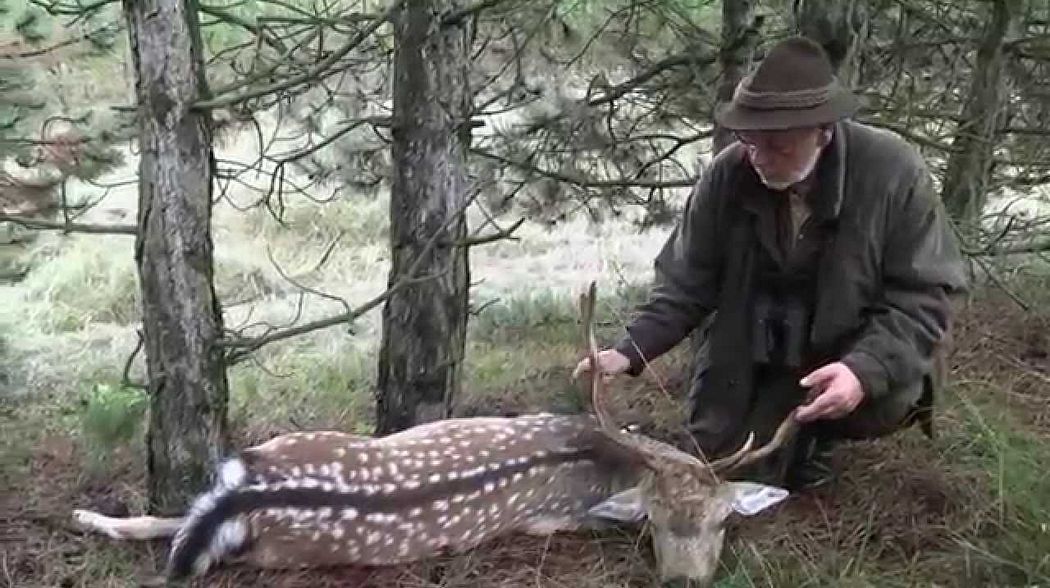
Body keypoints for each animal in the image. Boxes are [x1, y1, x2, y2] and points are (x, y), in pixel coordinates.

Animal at [71, 283, 793, 583]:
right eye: (654, 523)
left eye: (722, 522)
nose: (685, 582)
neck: (606, 455)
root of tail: (254, 499)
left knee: (176, 519)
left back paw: (89, 517)